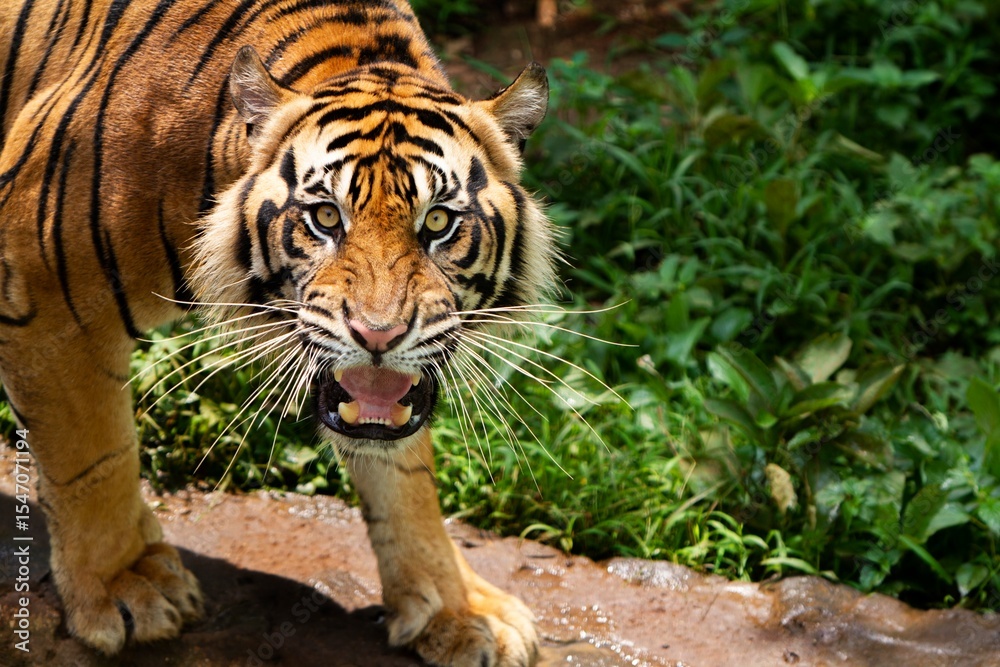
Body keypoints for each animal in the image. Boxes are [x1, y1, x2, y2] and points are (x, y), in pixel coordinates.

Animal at [0, 1, 555, 665]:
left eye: (439, 221)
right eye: (326, 217)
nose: (378, 335)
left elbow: (406, 475)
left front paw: (458, 610)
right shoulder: (45, 292)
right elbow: (93, 459)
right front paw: (124, 586)